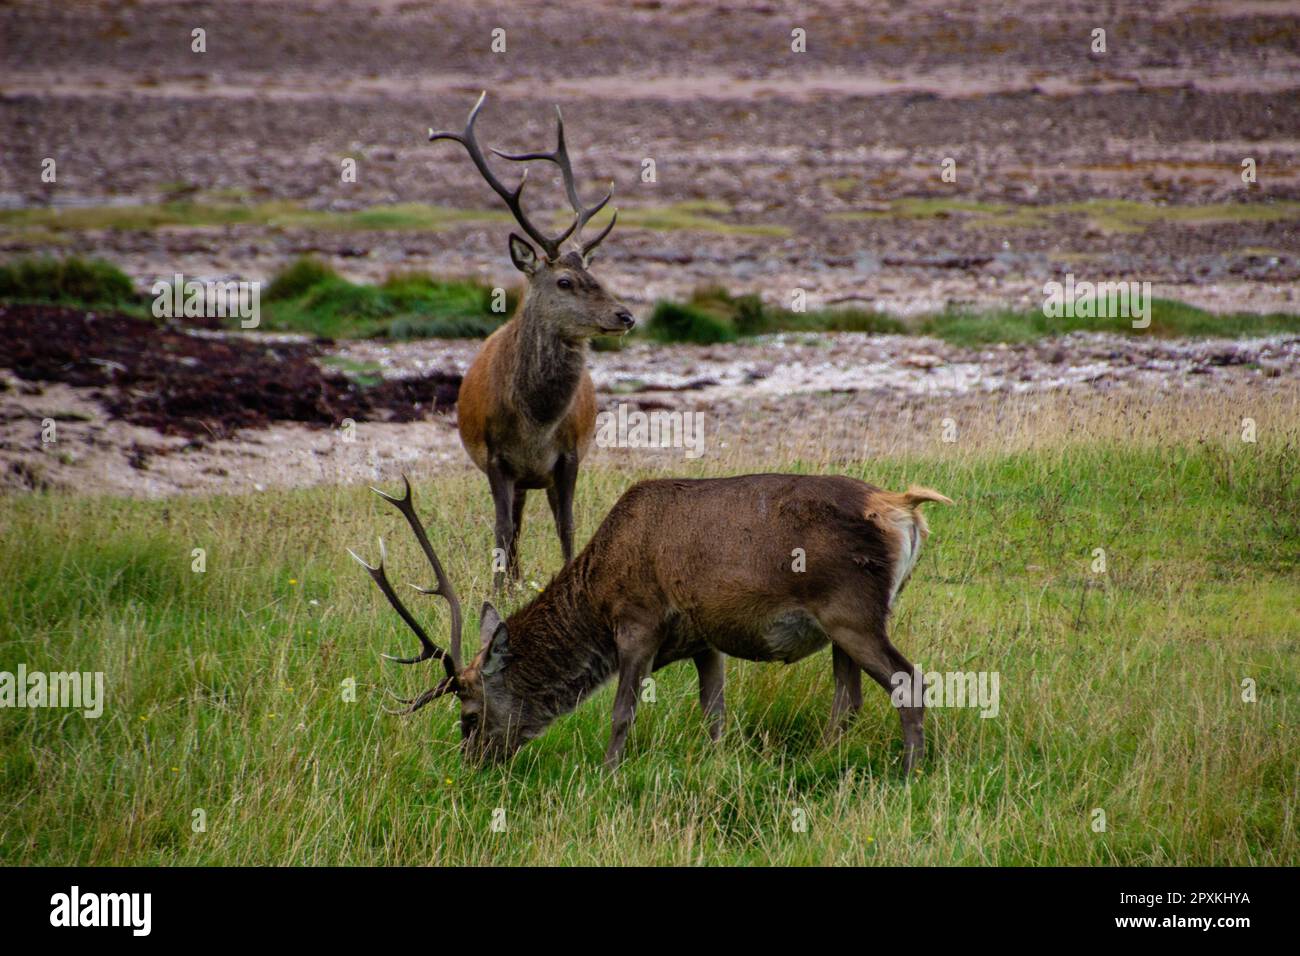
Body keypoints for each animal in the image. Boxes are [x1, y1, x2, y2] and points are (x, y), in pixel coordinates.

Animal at [349, 473, 952, 774]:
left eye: (469, 715)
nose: (470, 768)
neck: (596, 598)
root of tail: (903, 508)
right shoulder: (705, 638)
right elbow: (715, 715)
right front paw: (715, 765)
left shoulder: (637, 623)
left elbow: (622, 714)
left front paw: (607, 775)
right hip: (840, 624)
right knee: (848, 701)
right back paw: (818, 762)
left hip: (851, 610)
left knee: (910, 681)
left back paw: (910, 773)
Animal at [429, 93, 634, 589]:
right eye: (564, 281)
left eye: (596, 275)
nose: (626, 315)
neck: (535, 426)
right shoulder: (496, 458)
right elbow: (502, 528)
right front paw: (498, 592)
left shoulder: (570, 454)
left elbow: (568, 525)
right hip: (510, 475)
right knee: (513, 525)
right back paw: (511, 579)